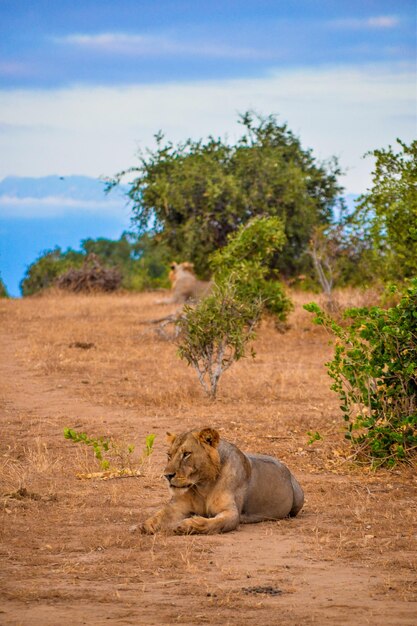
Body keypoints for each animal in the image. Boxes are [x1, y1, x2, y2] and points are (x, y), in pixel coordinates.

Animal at [141, 426, 304, 532]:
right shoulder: (178, 506)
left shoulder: (231, 513)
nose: (167, 475)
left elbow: (212, 523)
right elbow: (160, 515)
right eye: (169, 455)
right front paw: (145, 525)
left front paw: (187, 525)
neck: (203, 486)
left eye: (186, 454)